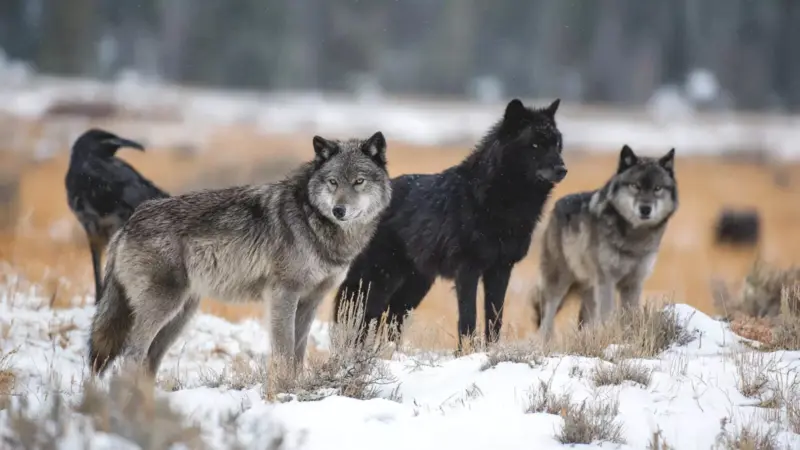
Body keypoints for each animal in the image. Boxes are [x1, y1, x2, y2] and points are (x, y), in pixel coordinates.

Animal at [88, 132, 392, 377]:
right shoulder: (283, 294)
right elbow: (284, 352)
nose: (339, 210)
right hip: (164, 307)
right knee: (131, 355)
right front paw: (283, 390)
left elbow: (297, 354)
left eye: (358, 182)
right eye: (332, 182)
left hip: (180, 315)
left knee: (149, 360)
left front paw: (295, 387)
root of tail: (128, 224)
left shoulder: (311, 301)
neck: (312, 220)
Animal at [333, 99, 567, 349]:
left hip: (416, 284)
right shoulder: (467, 270)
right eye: (536, 145)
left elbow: (495, 319)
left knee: (392, 318)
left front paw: (490, 351)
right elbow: (468, 320)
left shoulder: (501, 269)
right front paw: (467, 353)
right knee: (363, 318)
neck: (501, 202)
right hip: (379, 280)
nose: (563, 169)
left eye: (557, 144)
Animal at [533, 145, 678, 341]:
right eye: (635, 186)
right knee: (547, 318)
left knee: (585, 320)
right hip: (560, 282)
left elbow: (630, 315)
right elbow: (608, 315)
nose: (645, 209)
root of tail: (557, 205)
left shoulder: (633, 283)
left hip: (589, 290)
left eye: (657, 188)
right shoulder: (606, 279)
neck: (634, 237)